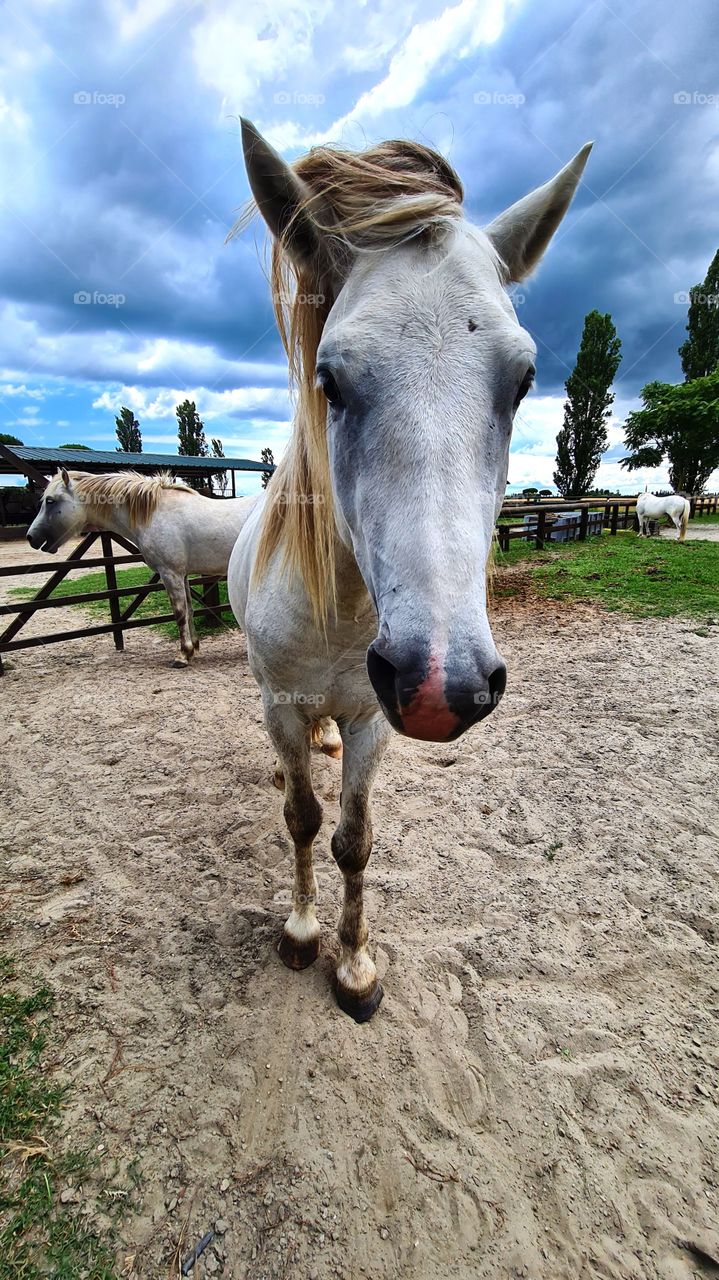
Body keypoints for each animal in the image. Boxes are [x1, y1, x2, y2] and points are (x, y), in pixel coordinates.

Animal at [227, 119, 593, 1021]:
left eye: (524, 380)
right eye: (328, 378)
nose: (439, 684)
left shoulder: (371, 719)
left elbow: (354, 840)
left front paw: (356, 969)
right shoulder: (283, 704)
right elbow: (300, 818)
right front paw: (300, 932)